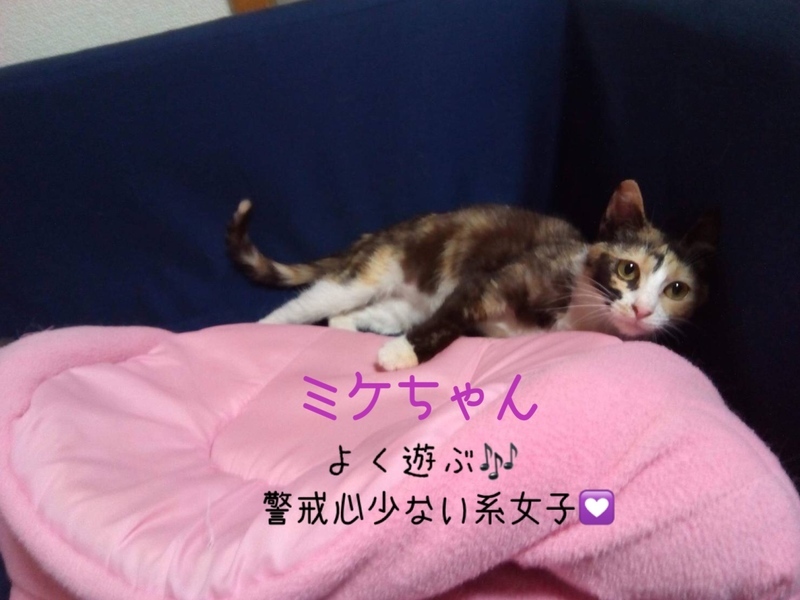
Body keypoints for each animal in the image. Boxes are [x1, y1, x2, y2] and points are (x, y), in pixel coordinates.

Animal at [226, 180, 718, 371]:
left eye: (676, 289)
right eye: (627, 268)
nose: (642, 310)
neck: (579, 312)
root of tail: (381, 231)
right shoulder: (486, 284)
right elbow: (449, 320)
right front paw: (402, 355)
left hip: (400, 307)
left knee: (349, 316)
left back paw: (346, 333)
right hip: (366, 273)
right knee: (306, 305)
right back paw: (259, 332)